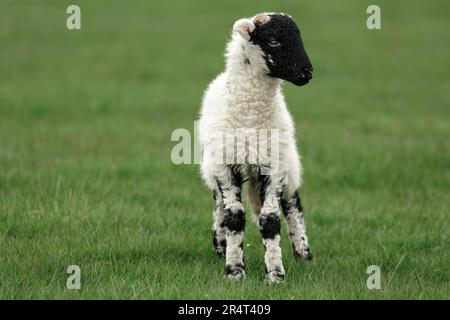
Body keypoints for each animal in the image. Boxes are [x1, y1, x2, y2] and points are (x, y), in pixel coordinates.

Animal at [199, 12, 314, 282]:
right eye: (273, 41)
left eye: (299, 37)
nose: (307, 72)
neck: (251, 116)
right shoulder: (224, 165)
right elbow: (234, 217)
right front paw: (234, 269)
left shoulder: (275, 165)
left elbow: (270, 219)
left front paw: (275, 273)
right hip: (214, 166)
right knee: (219, 203)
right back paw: (220, 245)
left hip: (288, 160)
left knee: (292, 204)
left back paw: (303, 252)